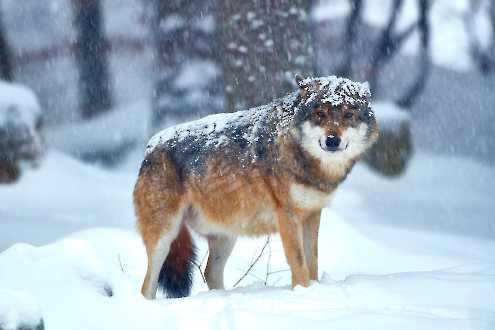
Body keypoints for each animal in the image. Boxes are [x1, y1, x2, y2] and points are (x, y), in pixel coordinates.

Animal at [134, 75, 378, 300]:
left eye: (348, 115)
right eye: (320, 114)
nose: (332, 140)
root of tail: (150, 146)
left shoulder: (312, 214)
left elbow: (313, 263)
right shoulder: (287, 215)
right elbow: (300, 265)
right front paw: (303, 294)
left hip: (225, 236)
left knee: (210, 272)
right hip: (165, 236)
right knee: (147, 286)